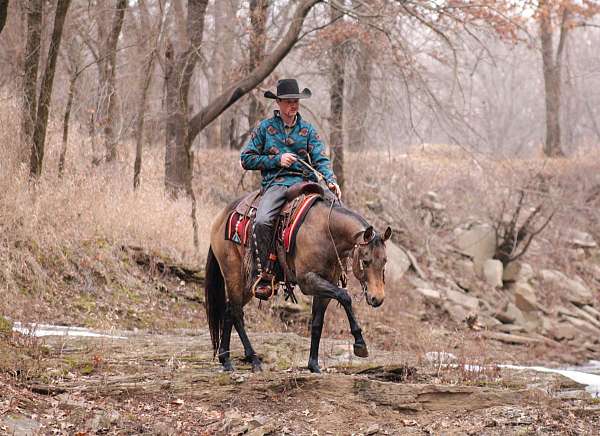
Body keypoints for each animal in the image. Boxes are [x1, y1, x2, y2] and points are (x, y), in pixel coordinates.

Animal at [204, 186, 392, 372]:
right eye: (365, 261)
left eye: (385, 261)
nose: (377, 298)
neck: (326, 232)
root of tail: (220, 217)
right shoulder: (307, 281)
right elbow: (345, 297)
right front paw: (360, 343)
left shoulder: (326, 285)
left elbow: (317, 323)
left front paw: (314, 365)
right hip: (233, 274)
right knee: (236, 313)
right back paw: (254, 360)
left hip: (247, 284)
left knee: (229, 310)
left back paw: (226, 360)